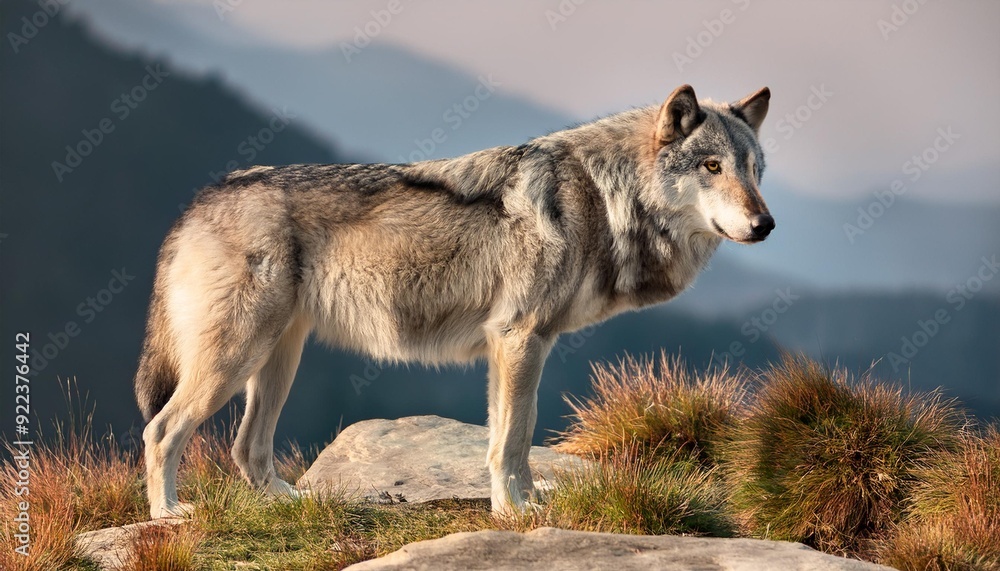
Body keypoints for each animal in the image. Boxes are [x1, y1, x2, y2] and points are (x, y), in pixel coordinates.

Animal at [135, 84, 774, 519]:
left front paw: (520, 506)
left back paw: (290, 504)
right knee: (161, 431)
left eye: (753, 170)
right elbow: (513, 440)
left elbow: (510, 435)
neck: (601, 194)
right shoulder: (520, 339)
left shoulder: (514, 346)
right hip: (236, 359)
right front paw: (517, 513)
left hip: (277, 359)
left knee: (247, 449)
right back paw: (168, 516)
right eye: (711, 166)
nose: (765, 224)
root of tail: (199, 201)